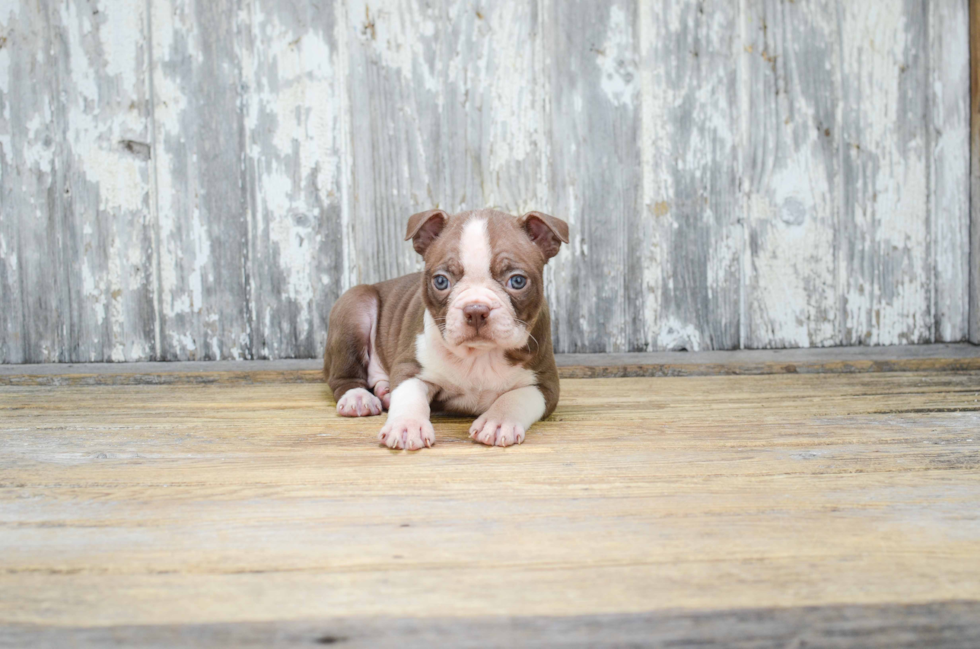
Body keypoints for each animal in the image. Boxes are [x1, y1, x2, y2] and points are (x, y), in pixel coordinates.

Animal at [322, 209, 568, 450]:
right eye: (441, 281)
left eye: (517, 281)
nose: (476, 310)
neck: (479, 355)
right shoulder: (410, 368)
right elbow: (410, 396)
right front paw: (407, 426)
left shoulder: (544, 385)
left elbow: (515, 398)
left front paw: (498, 422)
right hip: (355, 309)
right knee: (343, 376)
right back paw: (357, 398)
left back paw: (384, 391)